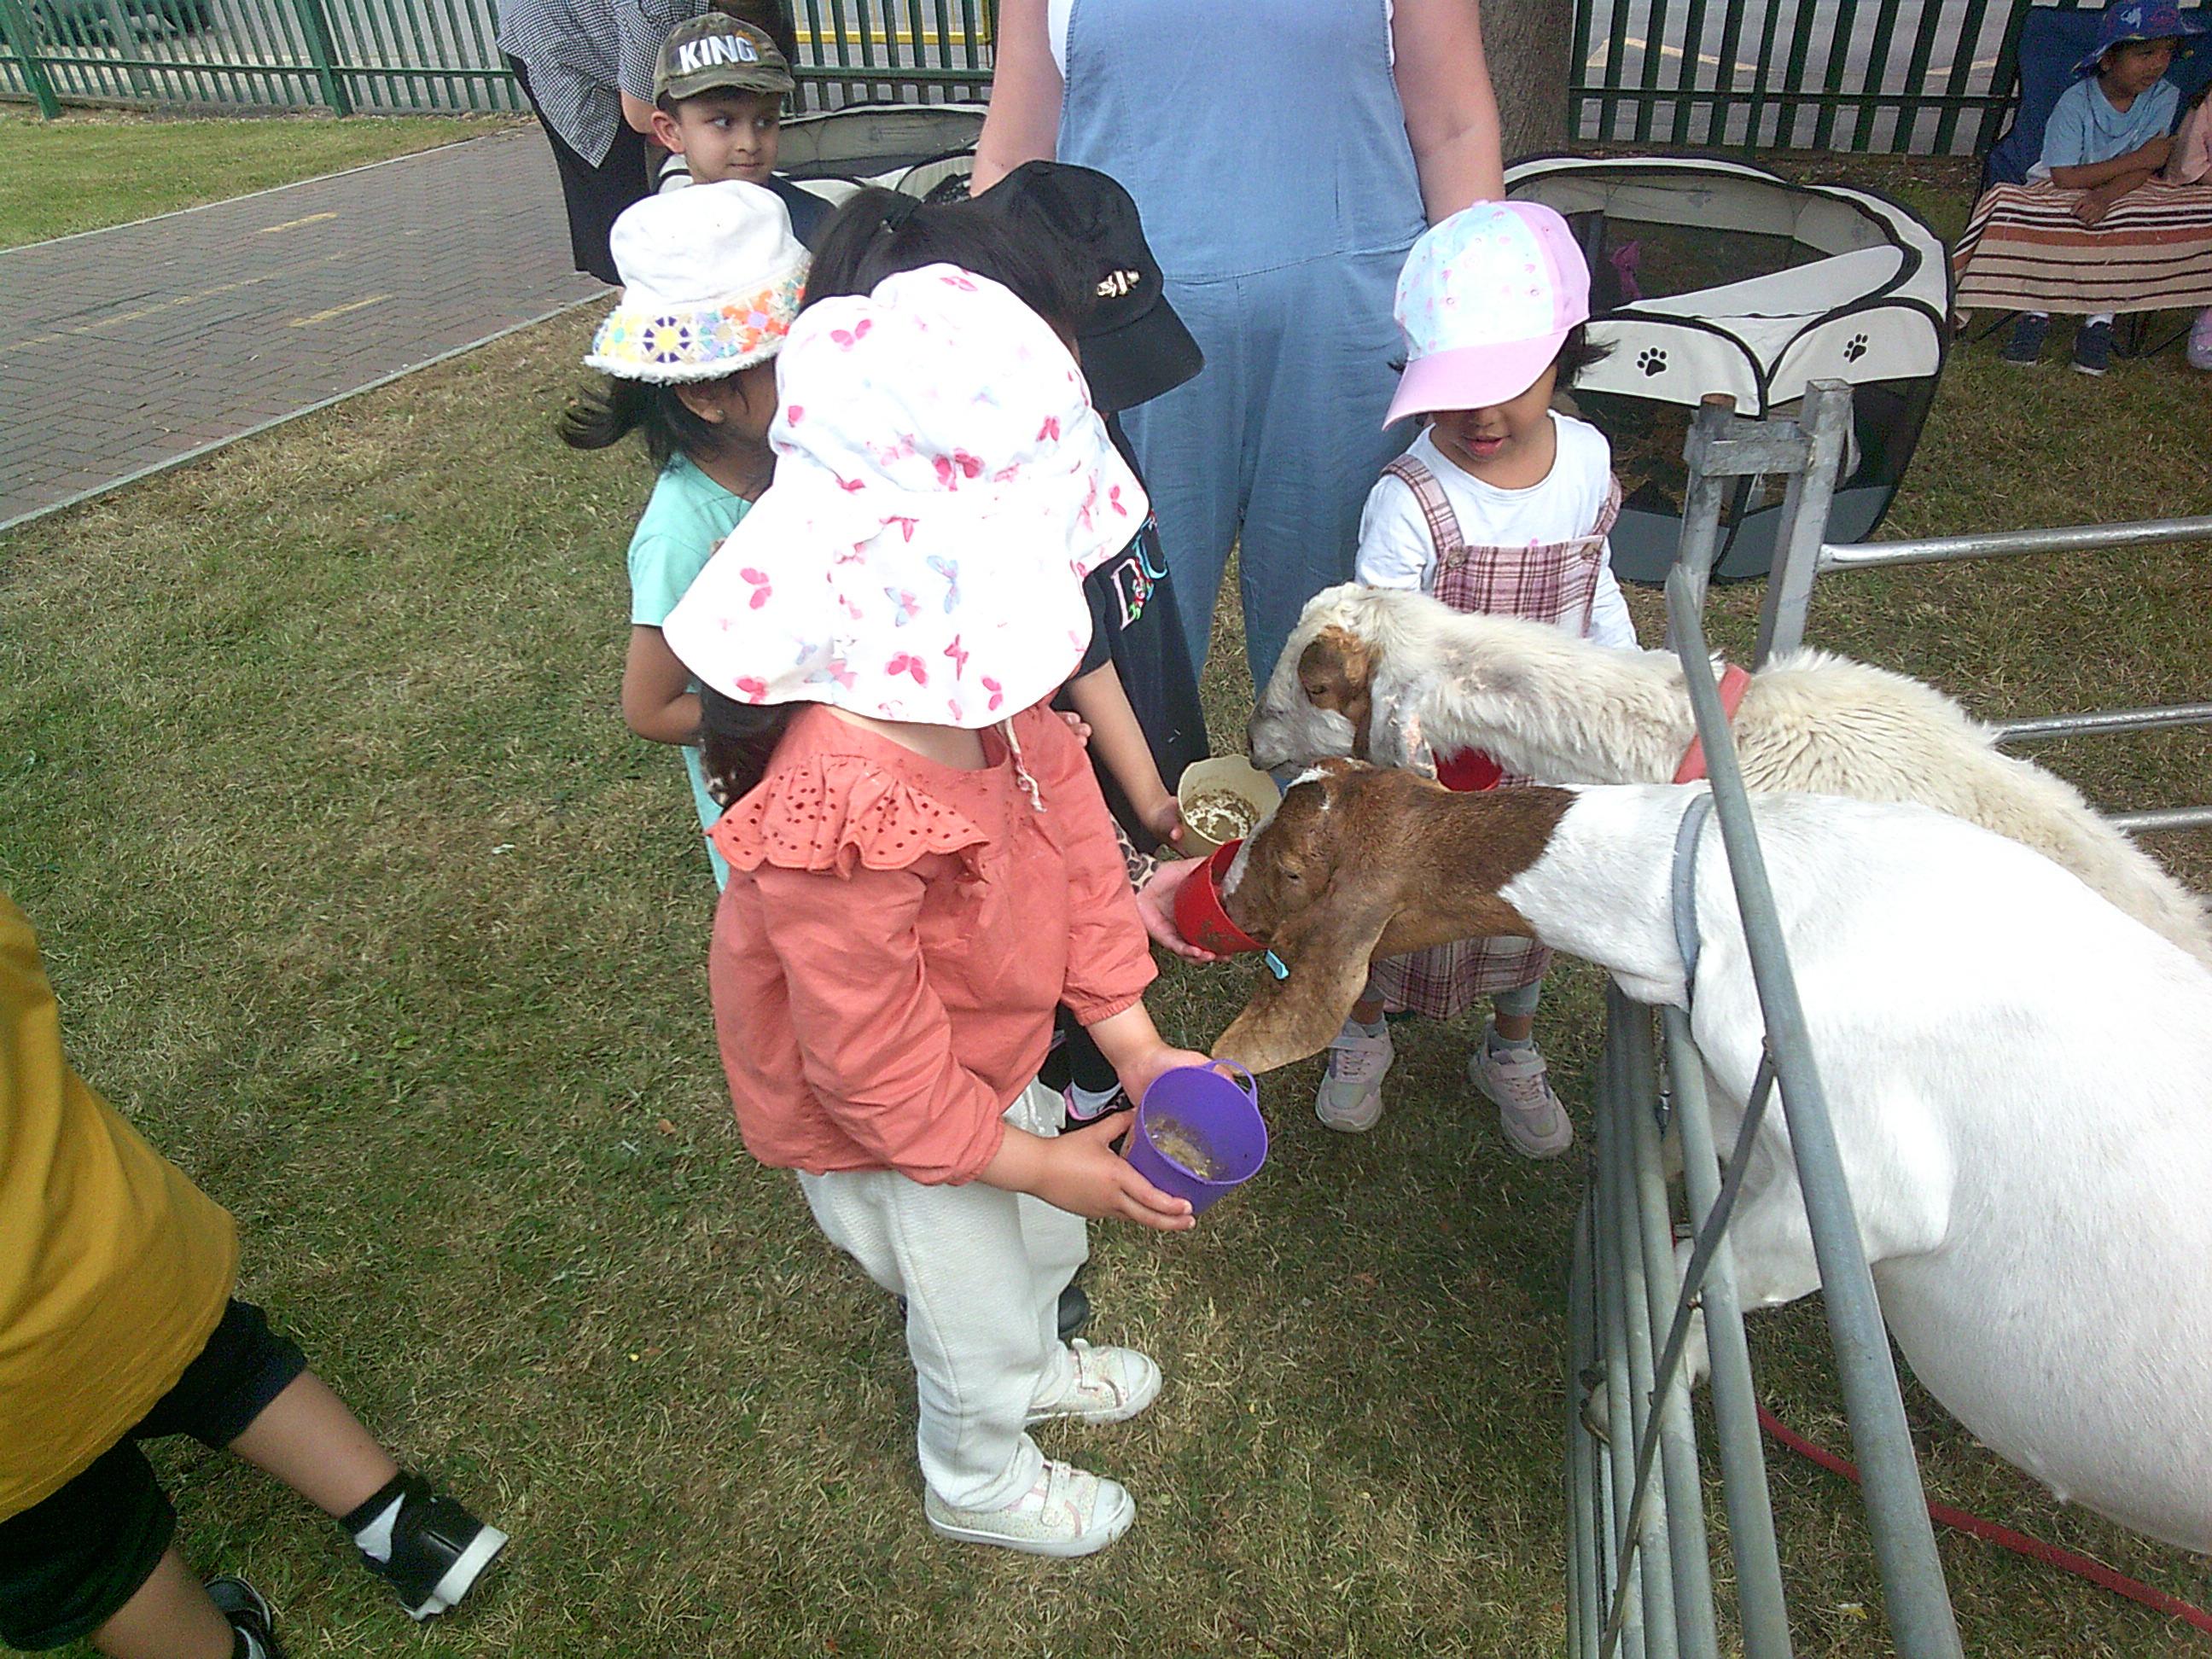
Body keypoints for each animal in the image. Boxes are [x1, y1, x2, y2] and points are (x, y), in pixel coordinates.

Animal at [1212, 761, 2212, 1554]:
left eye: (1292, 866)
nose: (1221, 888)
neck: (1735, 891)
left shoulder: (1861, 1190)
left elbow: (1698, 1262)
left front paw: (1622, 1400)